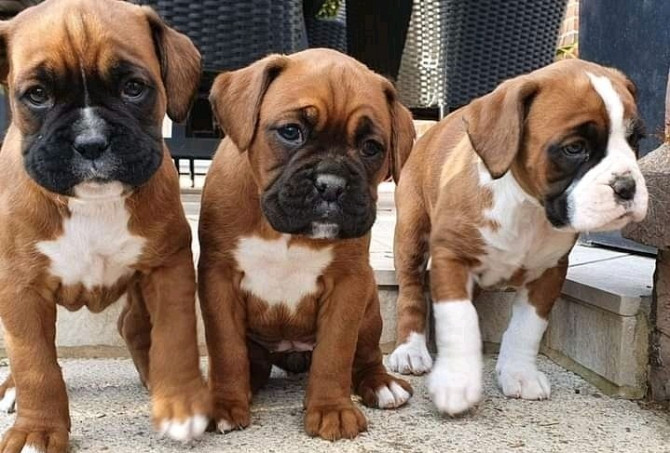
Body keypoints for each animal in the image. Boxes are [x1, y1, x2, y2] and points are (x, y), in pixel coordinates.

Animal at [0, 0, 211, 448]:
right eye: (37, 95)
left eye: (133, 87)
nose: (91, 143)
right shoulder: (20, 287)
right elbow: (34, 361)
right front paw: (36, 430)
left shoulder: (167, 267)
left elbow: (175, 335)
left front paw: (181, 404)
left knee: (133, 325)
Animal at [202, 48, 418, 438]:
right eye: (291, 132)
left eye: (371, 147)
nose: (331, 185)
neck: (285, 232)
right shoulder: (218, 278)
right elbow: (225, 348)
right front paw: (223, 403)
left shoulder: (348, 284)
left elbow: (335, 351)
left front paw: (331, 409)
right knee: (250, 361)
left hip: (370, 310)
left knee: (366, 356)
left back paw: (381, 384)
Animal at [388, 60, 652, 416]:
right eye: (574, 148)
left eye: (635, 139)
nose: (627, 186)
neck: (529, 208)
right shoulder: (451, 257)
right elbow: (458, 319)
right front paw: (456, 381)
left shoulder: (550, 272)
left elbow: (527, 326)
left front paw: (519, 373)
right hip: (412, 236)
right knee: (412, 291)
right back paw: (411, 350)